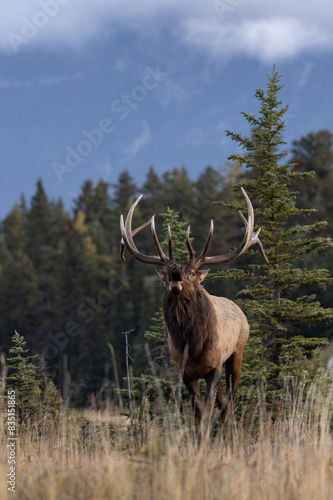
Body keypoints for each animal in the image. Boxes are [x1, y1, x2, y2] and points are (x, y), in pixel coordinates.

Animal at [119, 189, 268, 440]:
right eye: (168, 271)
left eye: (191, 272)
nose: (175, 269)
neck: (193, 343)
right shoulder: (186, 371)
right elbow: (198, 411)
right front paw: (200, 440)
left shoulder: (214, 366)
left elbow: (208, 407)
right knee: (223, 401)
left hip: (237, 353)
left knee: (229, 400)